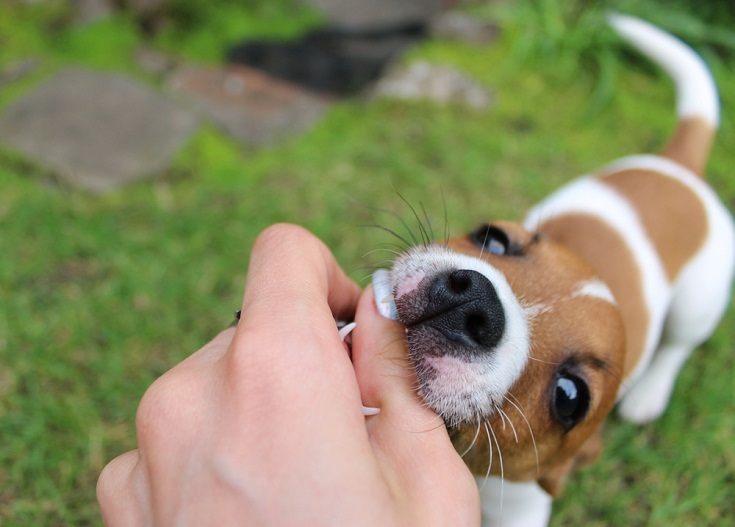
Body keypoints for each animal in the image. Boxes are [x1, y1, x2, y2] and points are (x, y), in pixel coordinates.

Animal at [374, 12, 735, 527]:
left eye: (569, 397)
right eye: (493, 239)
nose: (473, 300)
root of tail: (680, 168)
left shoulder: (521, 507)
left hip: (697, 302)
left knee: (678, 345)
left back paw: (649, 394)